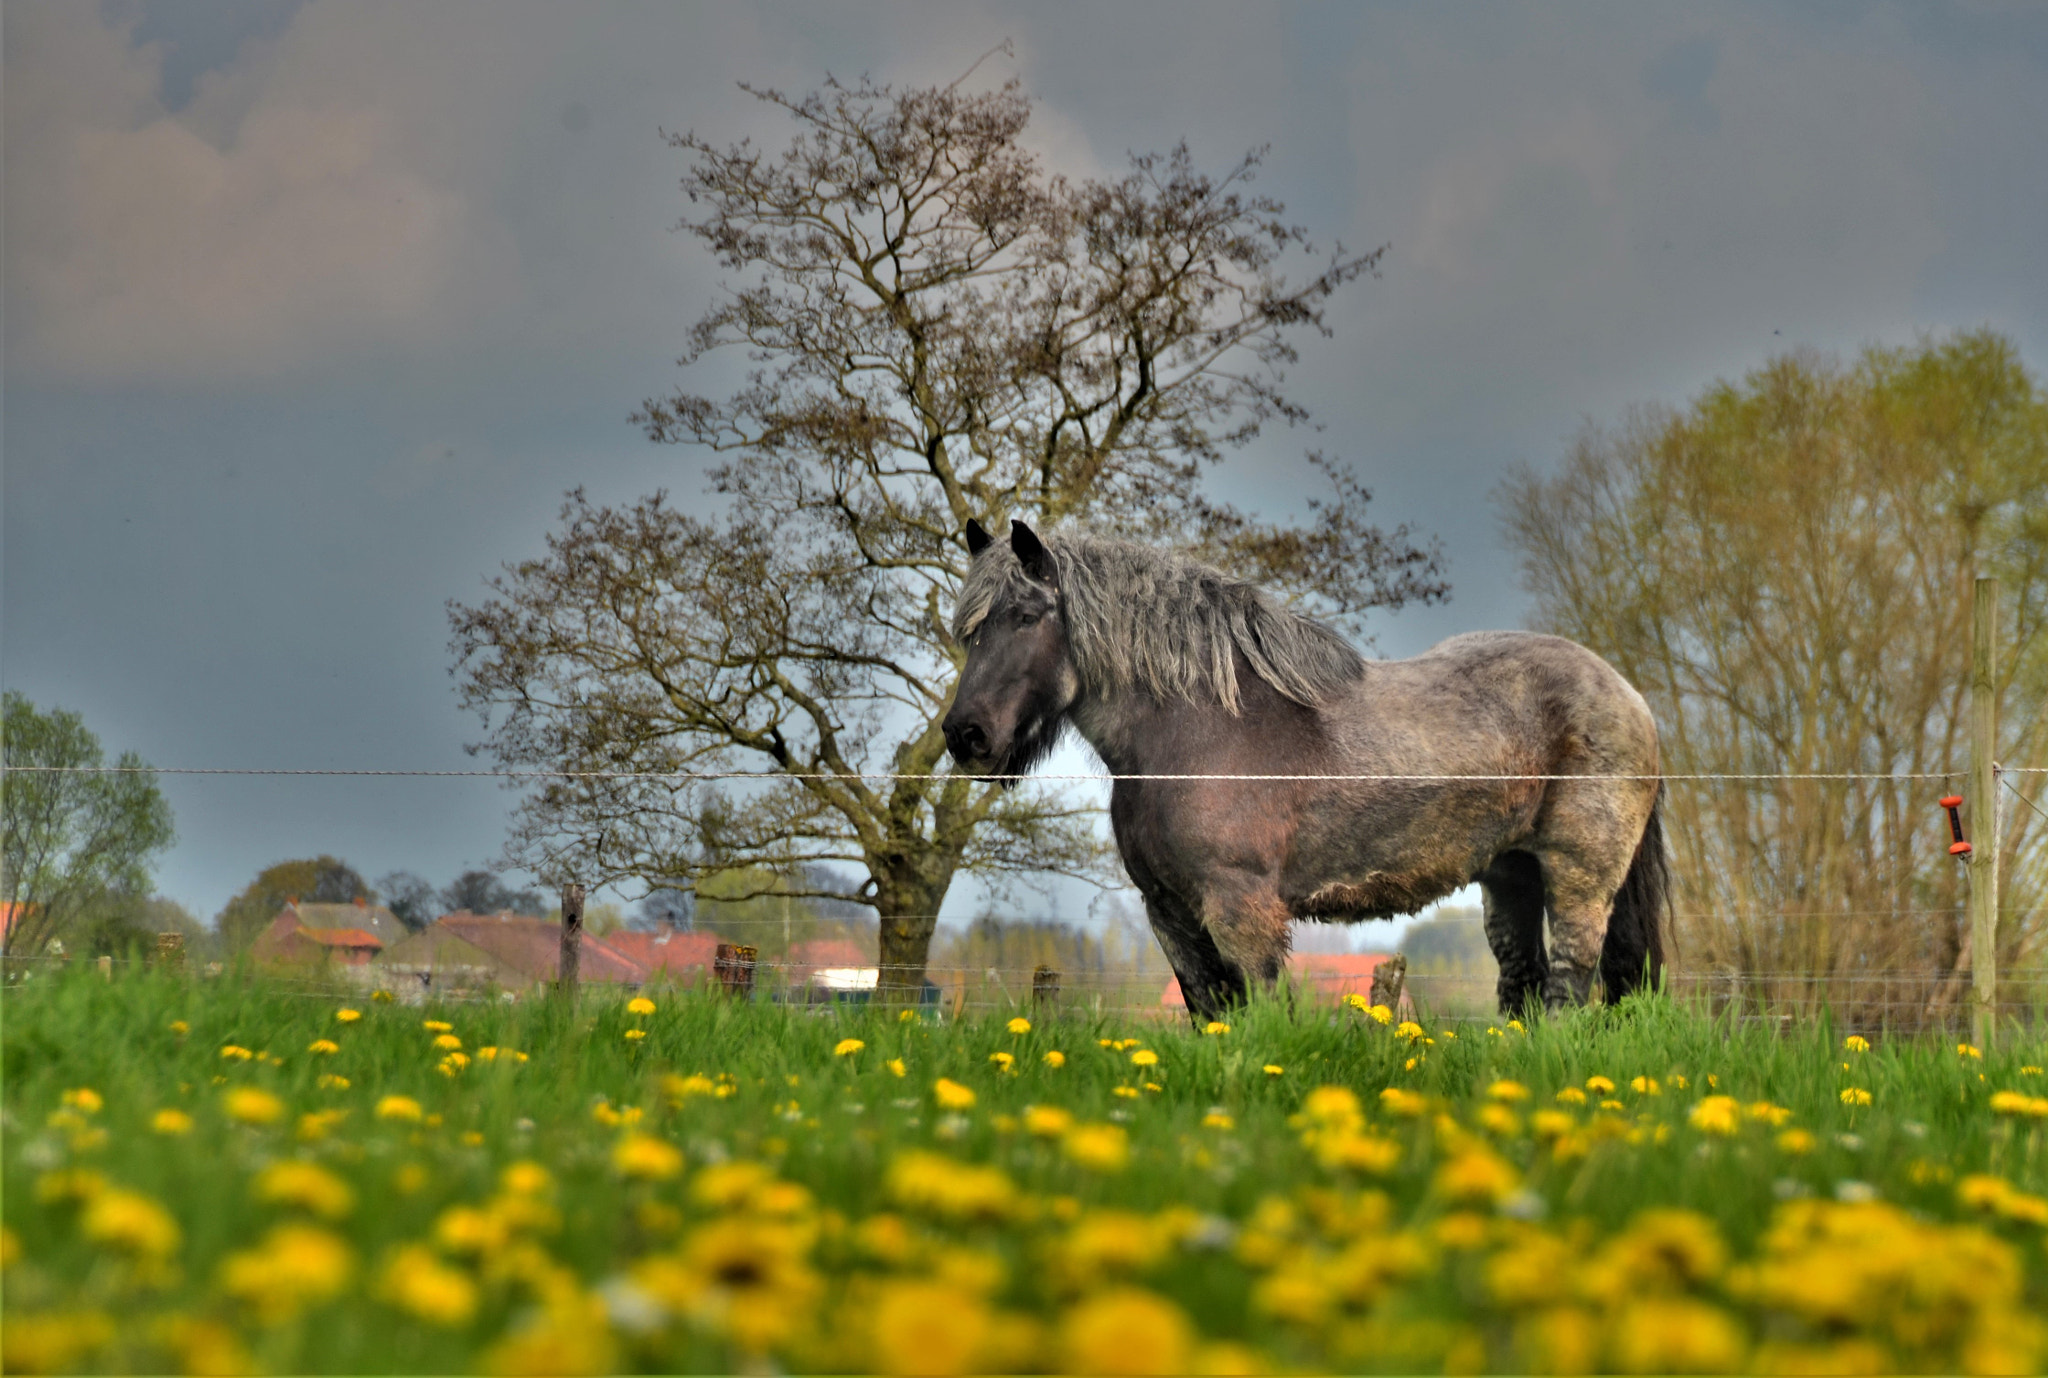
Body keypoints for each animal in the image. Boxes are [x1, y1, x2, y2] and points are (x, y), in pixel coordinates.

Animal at [942, 518, 1667, 1022]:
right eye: (969, 631)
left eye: (1026, 616)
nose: (965, 735)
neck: (1198, 729)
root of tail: (1630, 696)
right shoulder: (1170, 915)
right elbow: (1211, 1016)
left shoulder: (1241, 910)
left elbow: (1262, 1014)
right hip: (1510, 875)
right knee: (1524, 984)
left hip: (1578, 879)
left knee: (1569, 984)